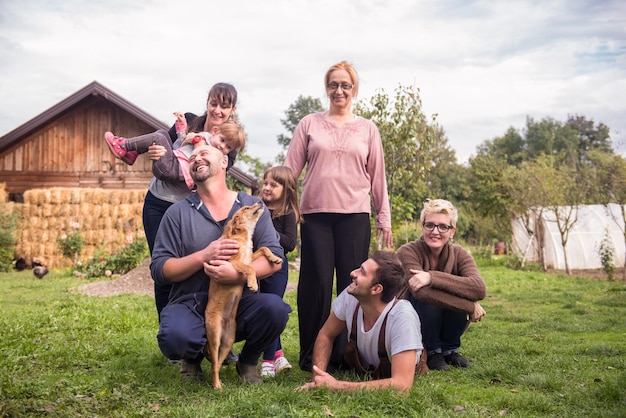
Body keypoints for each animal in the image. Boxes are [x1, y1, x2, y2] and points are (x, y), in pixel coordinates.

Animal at [204, 202, 282, 388]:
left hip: (227, 342)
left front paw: (274, 258)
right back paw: (217, 386)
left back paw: (219, 382)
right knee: (213, 365)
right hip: (214, 337)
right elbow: (250, 268)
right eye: (246, 208)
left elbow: (263, 248)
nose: (260, 202)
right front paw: (252, 284)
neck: (243, 237)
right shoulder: (232, 262)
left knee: (217, 364)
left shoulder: (251, 256)